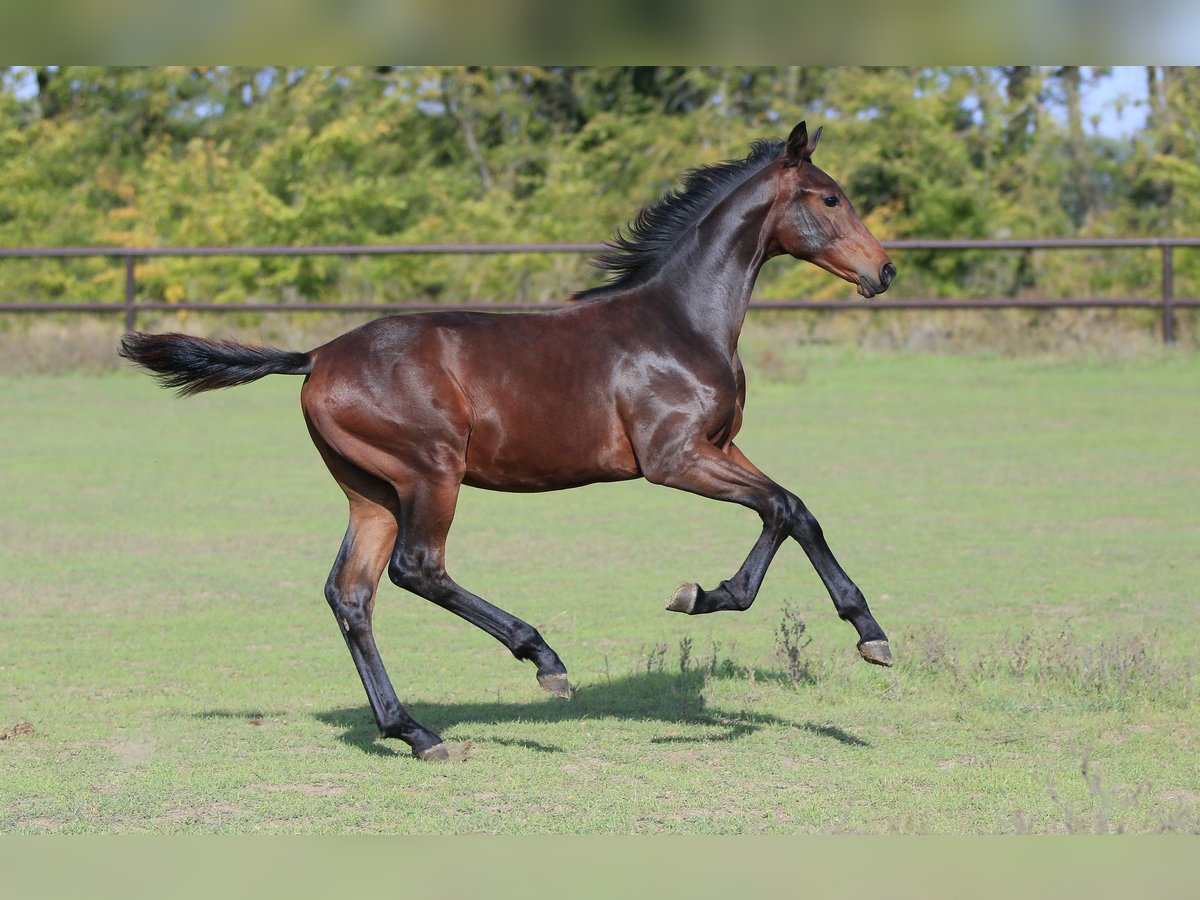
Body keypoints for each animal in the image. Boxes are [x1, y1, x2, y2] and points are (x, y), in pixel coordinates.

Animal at [121, 123, 897, 763]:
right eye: (830, 198)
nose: (884, 271)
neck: (677, 323)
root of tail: (315, 357)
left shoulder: (721, 447)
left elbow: (793, 511)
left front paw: (757, 606)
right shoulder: (674, 459)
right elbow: (784, 508)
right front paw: (830, 624)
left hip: (371, 492)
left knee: (351, 594)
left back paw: (416, 733)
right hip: (430, 474)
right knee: (417, 569)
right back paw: (542, 660)